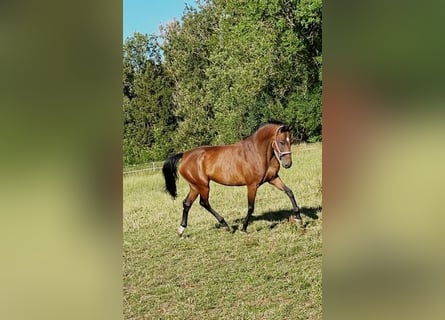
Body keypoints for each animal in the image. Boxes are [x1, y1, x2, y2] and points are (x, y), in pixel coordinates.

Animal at [161, 120, 300, 235]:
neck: (257, 152)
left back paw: (181, 229)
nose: (288, 164)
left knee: (187, 203)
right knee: (204, 202)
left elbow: (289, 192)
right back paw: (225, 225)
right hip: (203, 185)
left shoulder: (273, 179)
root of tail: (184, 155)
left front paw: (299, 219)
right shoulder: (252, 185)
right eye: (282, 142)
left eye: (291, 141)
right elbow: (251, 207)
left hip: (195, 186)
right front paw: (243, 228)